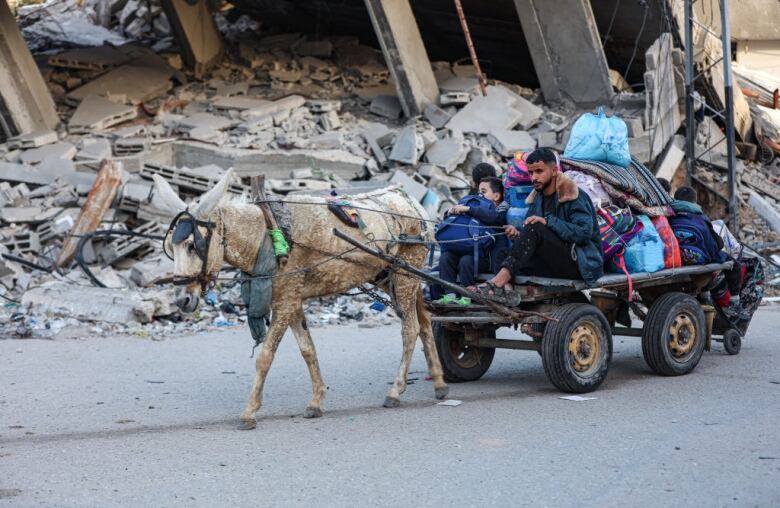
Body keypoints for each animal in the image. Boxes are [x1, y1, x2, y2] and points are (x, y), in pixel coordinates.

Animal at [152, 170, 448, 428]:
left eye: (193, 245)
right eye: (170, 248)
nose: (182, 300)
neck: (268, 236)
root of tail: (413, 203)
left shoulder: (284, 301)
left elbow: (265, 356)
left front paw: (250, 411)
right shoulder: (292, 298)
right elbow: (308, 350)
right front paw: (316, 401)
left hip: (405, 272)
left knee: (410, 329)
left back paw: (395, 391)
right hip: (393, 276)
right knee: (424, 322)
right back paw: (440, 383)